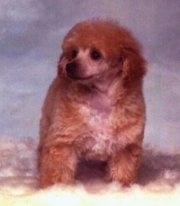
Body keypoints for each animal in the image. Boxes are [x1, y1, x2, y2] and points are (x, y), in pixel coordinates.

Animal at [38, 19, 146, 188]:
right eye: (73, 53)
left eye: (96, 55)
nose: (69, 66)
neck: (100, 99)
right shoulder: (63, 143)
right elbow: (58, 170)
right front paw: (56, 189)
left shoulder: (125, 146)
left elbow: (122, 170)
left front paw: (121, 188)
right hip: (46, 124)